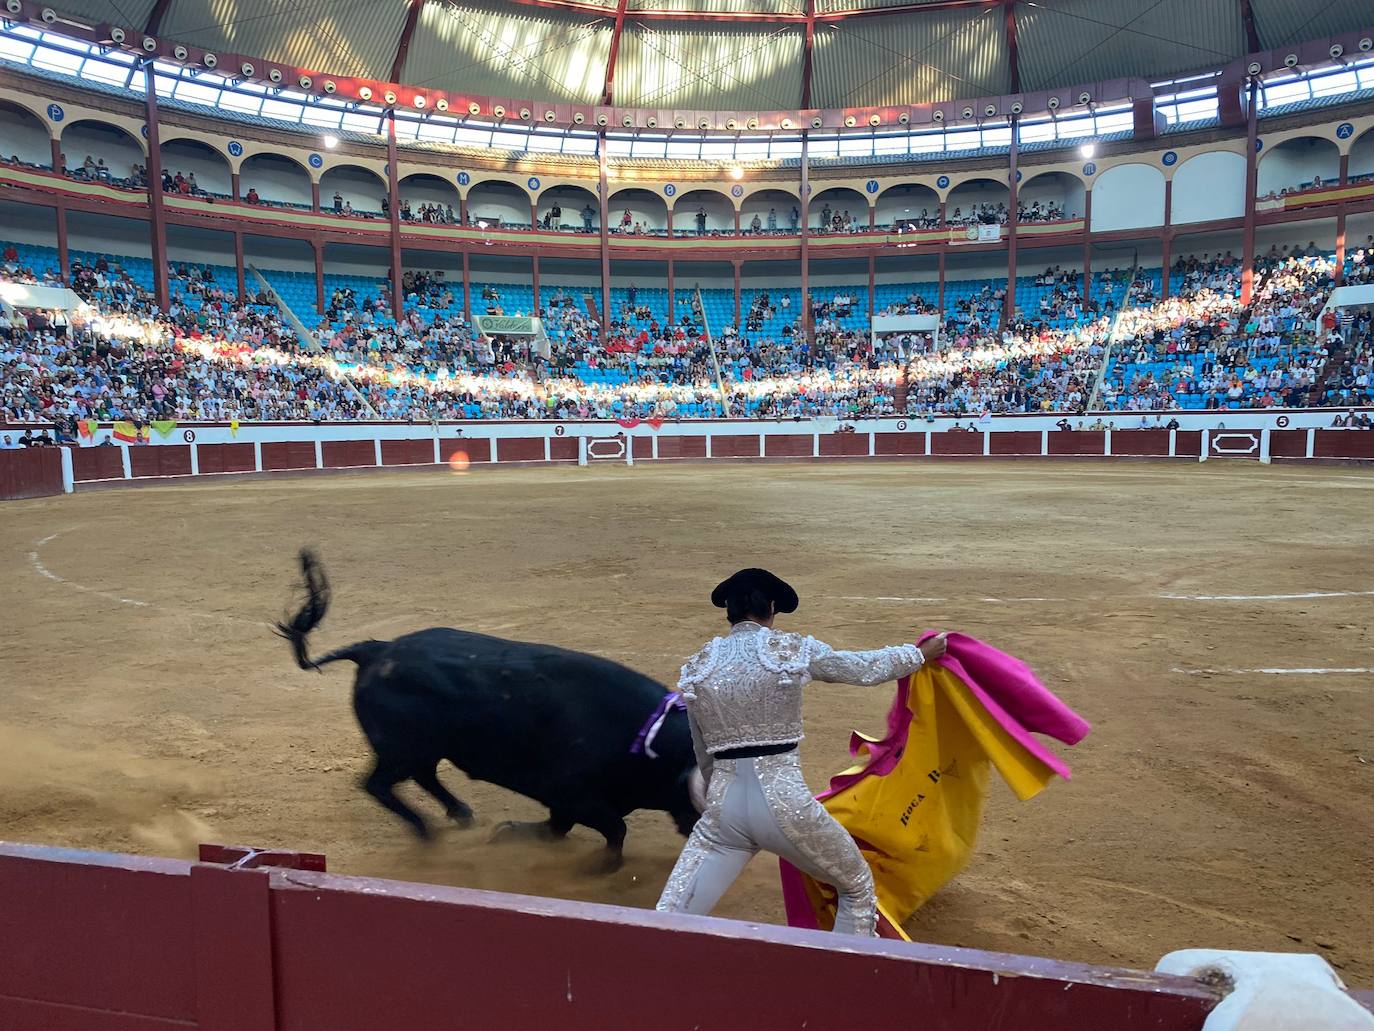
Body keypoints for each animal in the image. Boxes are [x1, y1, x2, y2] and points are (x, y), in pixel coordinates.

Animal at [274, 552, 703, 868]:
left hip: (426, 748)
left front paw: (510, 832)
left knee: (423, 776)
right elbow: (613, 831)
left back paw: (460, 813)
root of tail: (376, 650)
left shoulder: (569, 801)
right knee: (379, 785)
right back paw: (426, 834)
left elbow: (561, 828)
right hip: (400, 749)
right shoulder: (572, 794)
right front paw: (600, 867)